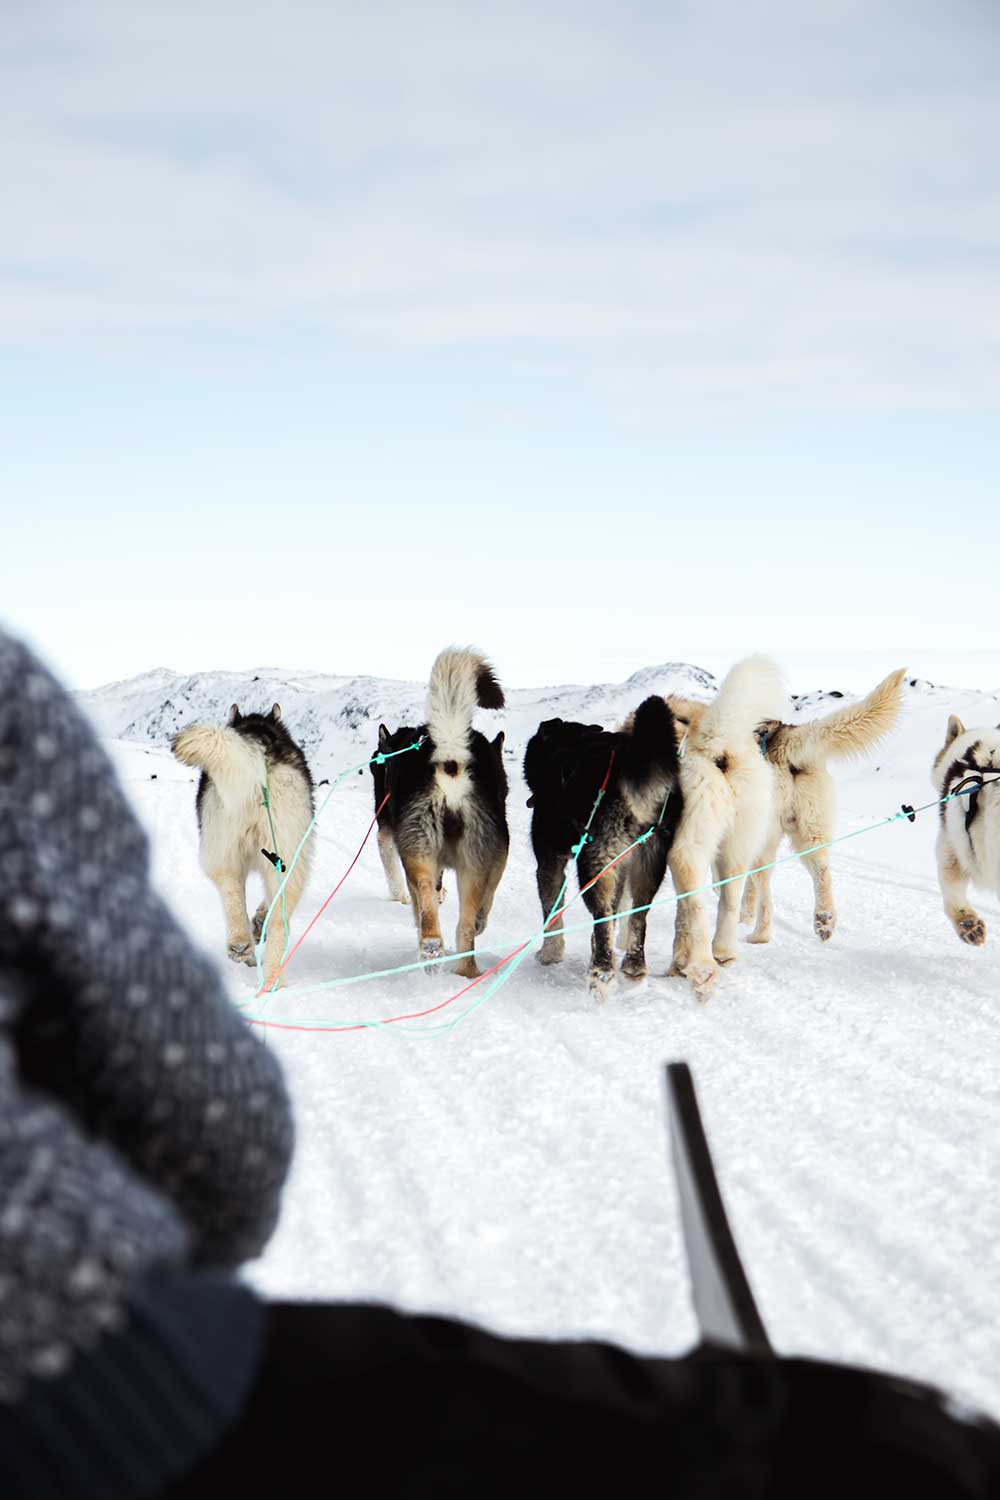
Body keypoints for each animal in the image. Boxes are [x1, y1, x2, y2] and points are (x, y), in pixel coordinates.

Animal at [374, 648, 509, 978]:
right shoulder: (499, 855)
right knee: (463, 926)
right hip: (468, 863)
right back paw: (462, 968)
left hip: (424, 852)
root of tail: (450, 758)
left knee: (431, 904)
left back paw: (434, 948)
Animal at [524, 696, 680, 1002]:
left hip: (594, 863)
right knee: (637, 917)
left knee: (602, 915)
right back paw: (633, 968)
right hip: (647, 864)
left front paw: (550, 954)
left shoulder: (549, 862)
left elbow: (552, 913)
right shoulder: (620, 868)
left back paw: (602, 974)